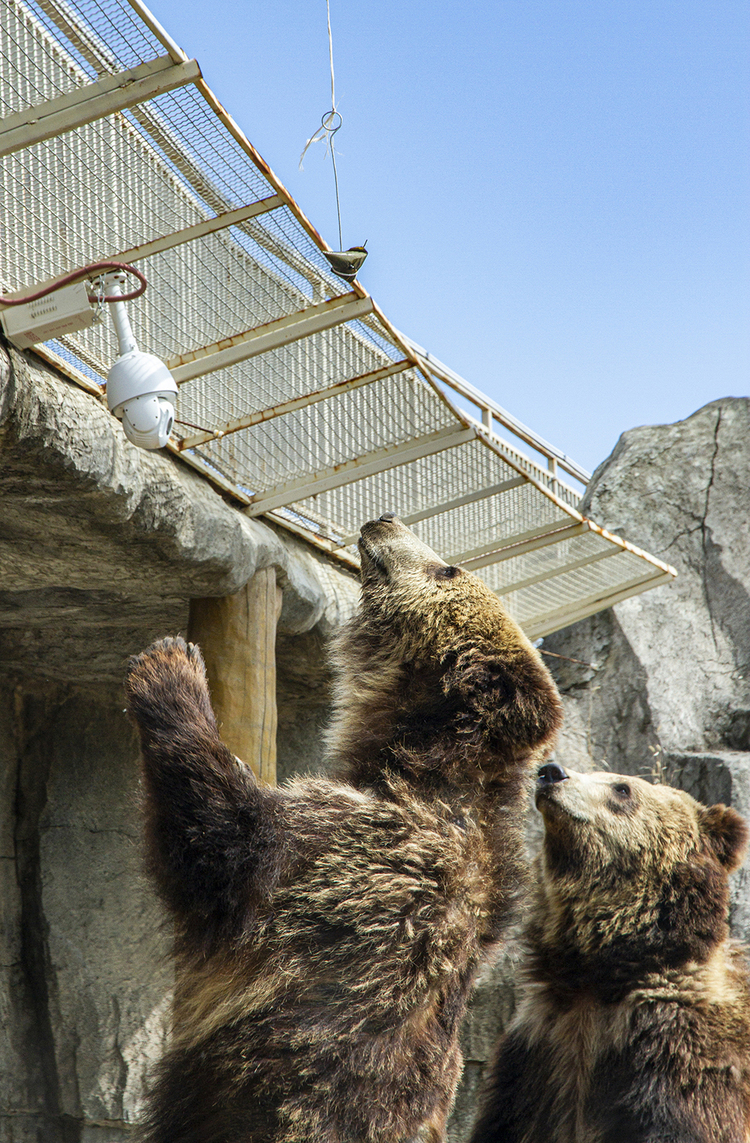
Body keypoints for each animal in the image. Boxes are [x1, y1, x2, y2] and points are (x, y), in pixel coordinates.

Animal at [122, 516, 560, 1143]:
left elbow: (225, 849)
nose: (384, 520)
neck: (419, 762)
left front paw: (171, 666)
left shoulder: (368, 856)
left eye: (447, 568)